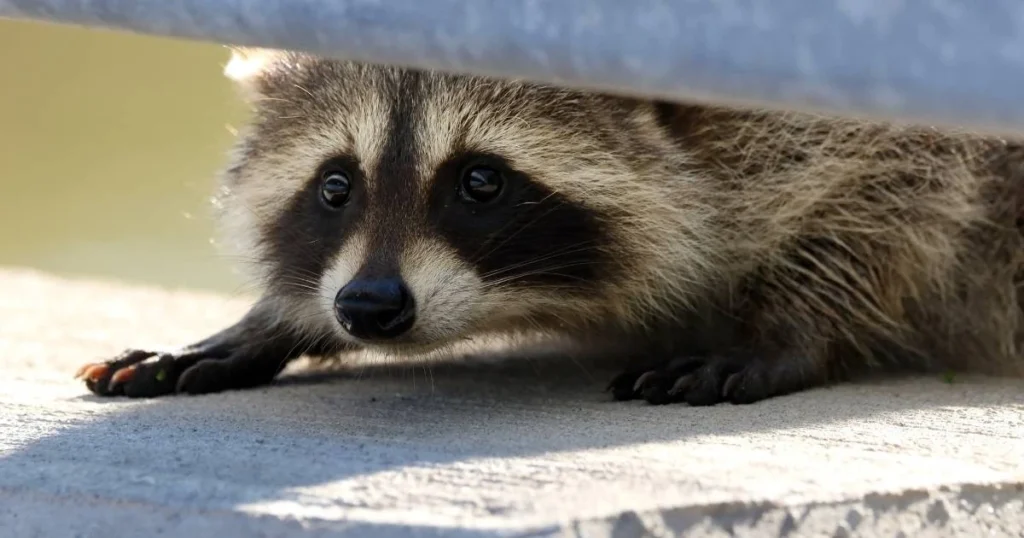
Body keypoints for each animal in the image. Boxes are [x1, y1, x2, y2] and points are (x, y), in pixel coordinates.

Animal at [75, 48, 1024, 405]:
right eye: (336, 186)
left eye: (481, 181)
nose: (368, 305)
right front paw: (275, 318)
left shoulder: (869, 120)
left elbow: (892, 200)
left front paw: (790, 328)